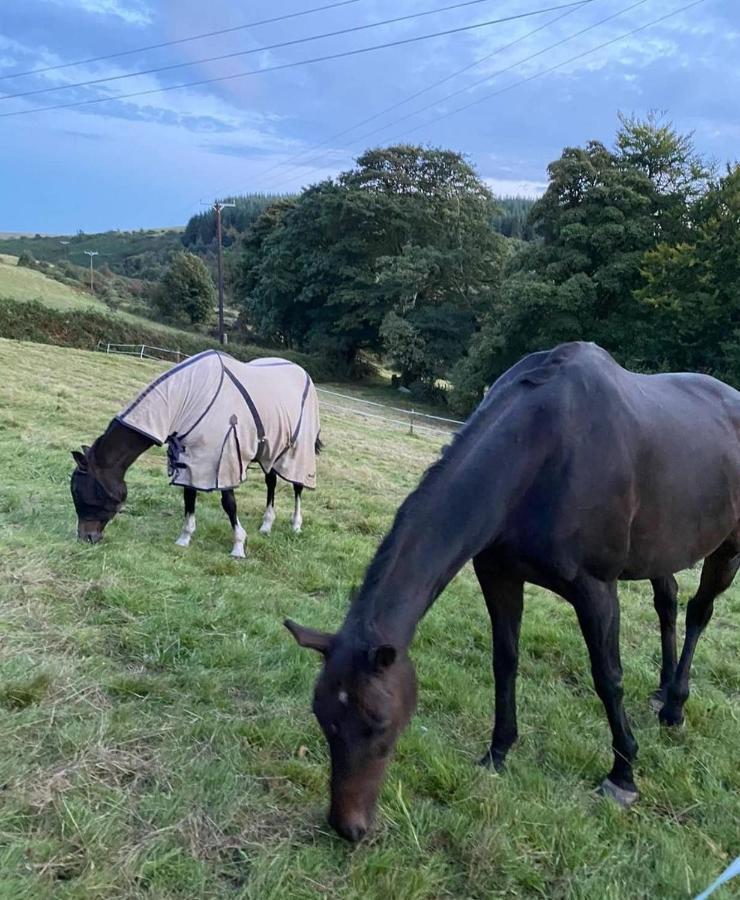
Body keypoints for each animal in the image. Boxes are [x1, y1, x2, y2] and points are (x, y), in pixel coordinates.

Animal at [71, 352, 322, 556]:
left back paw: (296, 525)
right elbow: (189, 496)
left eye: (83, 493)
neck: (187, 396)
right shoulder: (190, 459)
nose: (87, 537)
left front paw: (238, 546)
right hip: (269, 449)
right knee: (271, 481)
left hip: (298, 450)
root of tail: (303, 372)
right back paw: (267, 524)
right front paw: (184, 538)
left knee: (297, 486)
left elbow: (229, 503)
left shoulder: (225, 458)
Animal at [286, 342, 740, 844]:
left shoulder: (596, 589)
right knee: (668, 602)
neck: (547, 448)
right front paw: (498, 751)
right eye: (324, 717)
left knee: (699, 612)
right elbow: (504, 661)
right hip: (661, 551)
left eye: (378, 724)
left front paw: (622, 775)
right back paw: (661, 691)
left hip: (727, 549)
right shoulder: (499, 574)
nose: (347, 826)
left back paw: (675, 706)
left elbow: (608, 677)